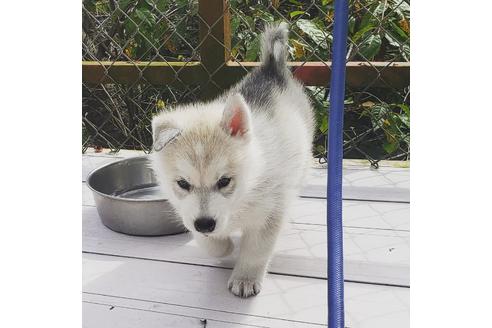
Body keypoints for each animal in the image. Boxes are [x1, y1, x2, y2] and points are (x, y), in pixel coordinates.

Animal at [152, 23, 316, 298]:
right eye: (183, 184)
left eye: (225, 181)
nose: (205, 224)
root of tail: (271, 69)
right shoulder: (188, 212)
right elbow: (208, 243)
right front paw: (224, 246)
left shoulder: (269, 213)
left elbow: (256, 250)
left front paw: (245, 278)